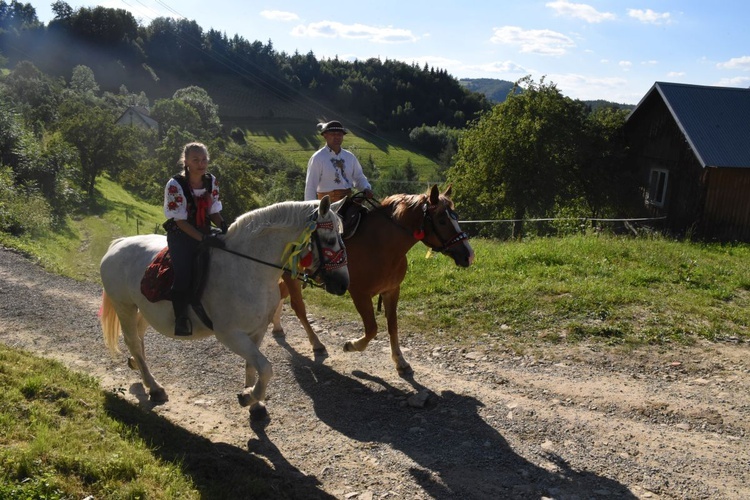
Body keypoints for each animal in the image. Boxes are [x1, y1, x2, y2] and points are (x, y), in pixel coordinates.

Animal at [100, 195, 350, 418]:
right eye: (329, 240)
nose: (343, 283)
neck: (248, 268)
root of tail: (117, 244)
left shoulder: (257, 331)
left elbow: (253, 366)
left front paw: (254, 404)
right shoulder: (230, 334)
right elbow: (266, 368)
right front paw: (248, 397)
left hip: (143, 310)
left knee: (139, 339)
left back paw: (138, 367)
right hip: (125, 307)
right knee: (132, 341)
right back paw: (154, 387)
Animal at [274, 184, 476, 376]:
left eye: (456, 217)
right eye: (442, 220)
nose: (469, 255)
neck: (379, 244)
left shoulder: (391, 291)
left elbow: (392, 326)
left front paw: (400, 361)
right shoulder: (360, 295)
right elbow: (372, 328)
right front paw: (352, 345)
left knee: (280, 295)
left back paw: (277, 328)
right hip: (290, 276)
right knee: (298, 307)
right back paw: (316, 344)